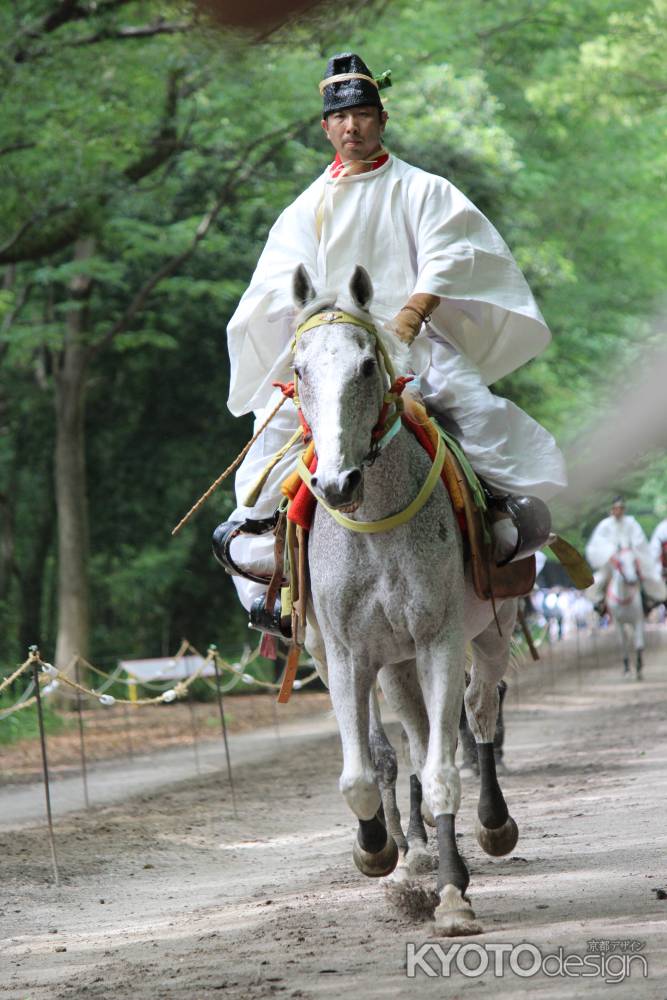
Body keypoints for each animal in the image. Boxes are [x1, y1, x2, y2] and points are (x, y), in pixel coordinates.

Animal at [608, 548, 644, 680]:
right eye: (621, 563)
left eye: (634, 561)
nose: (632, 580)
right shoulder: (618, 622)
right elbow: (623, 643)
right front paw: (627, 670)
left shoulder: (637, 619)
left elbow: (639, 643)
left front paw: (639, 668)